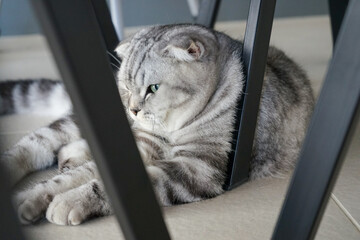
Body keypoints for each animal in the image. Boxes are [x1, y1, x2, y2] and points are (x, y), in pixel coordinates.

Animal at [0, 23, 314, 226]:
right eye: (127, 87)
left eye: (153, 88)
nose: (133, 110)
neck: (171, 128)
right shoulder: (141, 145)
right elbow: (67, 179)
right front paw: (34, 198)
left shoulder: (197, 167)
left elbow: (101, 184)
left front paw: (69, 202)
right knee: (34, 145)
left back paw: (70, 157)